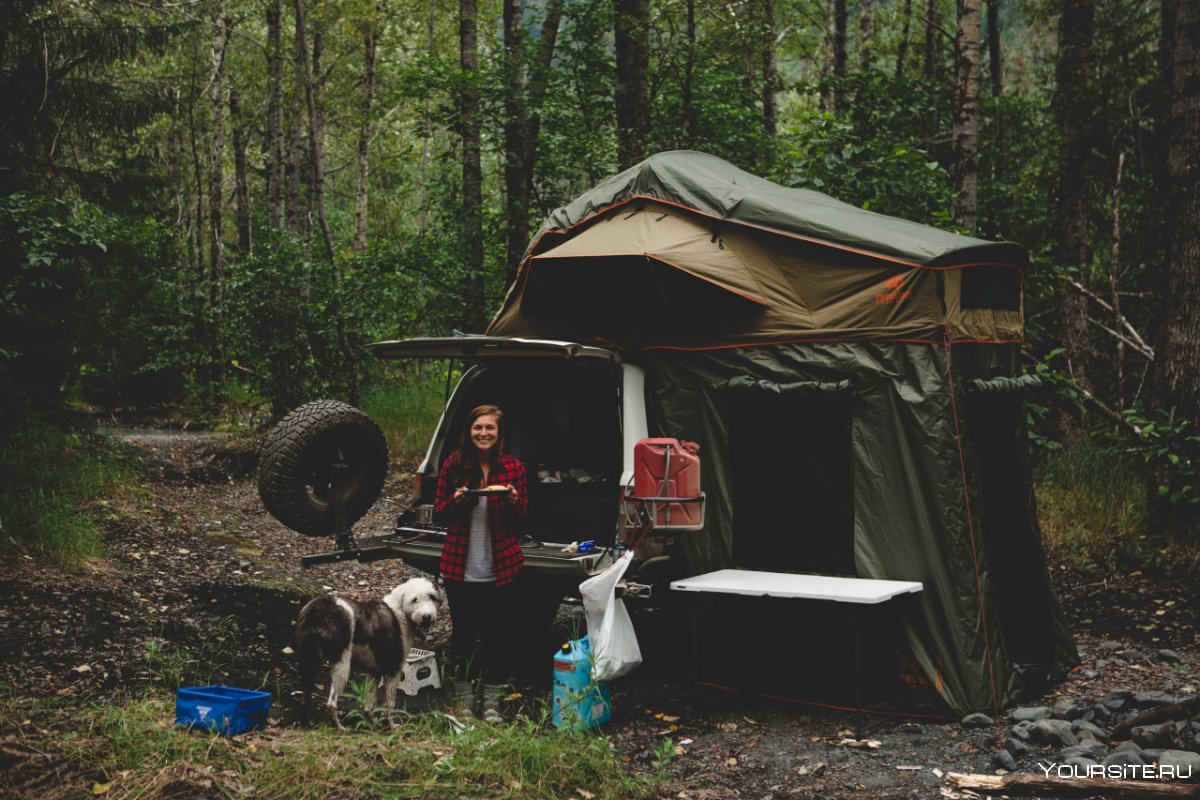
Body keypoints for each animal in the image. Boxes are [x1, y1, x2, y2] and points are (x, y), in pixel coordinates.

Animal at [292, 578, 444, 729]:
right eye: (414, 600)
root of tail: (319, 608)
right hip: (342, 665)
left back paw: (307, 724)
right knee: (331, 703)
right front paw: (391, 726)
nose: (426, 617)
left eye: (432, 597)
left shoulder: (373, 672)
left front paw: (372, 723)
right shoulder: (393, 670)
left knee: (305, 699)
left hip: (309, 661)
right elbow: (389, 704)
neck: (400, 613)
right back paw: (340, 728)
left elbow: (369, 703)